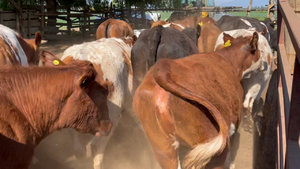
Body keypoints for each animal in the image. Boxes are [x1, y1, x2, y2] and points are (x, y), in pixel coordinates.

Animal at [132, 32, 264, 169]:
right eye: (258, 49)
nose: (264, 65)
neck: (229, 59)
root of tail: (162, 70)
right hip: (214, 150)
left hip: (163, 148)